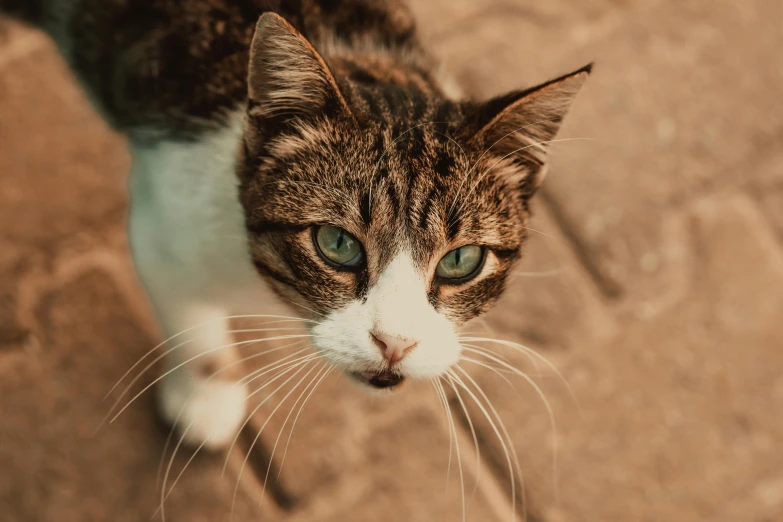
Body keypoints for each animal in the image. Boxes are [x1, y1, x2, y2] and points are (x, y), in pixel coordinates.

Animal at [0, 0, 588, 446]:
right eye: (336, 244)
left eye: (462, 260)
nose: (395, 344)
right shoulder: (162, 216)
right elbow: (190, 320)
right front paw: (207, 396)